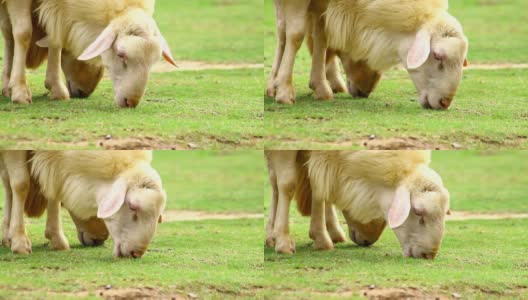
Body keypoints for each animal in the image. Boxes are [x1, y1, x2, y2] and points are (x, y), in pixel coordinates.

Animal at [1, 150, 166, 258]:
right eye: (132, 206)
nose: (136, 253)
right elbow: (21, 184)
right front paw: (20, 242)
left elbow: (52, 189)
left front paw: (57, 239)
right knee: (9, 184)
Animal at [264, 151, 450, 258]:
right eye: (418, 212)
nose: (428, 255)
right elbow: (288, 184)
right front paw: (283, 241)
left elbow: (318, 185)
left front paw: (320, 238)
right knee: (274, 182)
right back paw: (272, 235)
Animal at [266, 0, 468, 110]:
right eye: (438, 56)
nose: (445, 102)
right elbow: (296, 34)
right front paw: (284, 92)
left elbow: (321, 34)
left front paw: (320, 88)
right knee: (283, 30)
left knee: (282, 28)